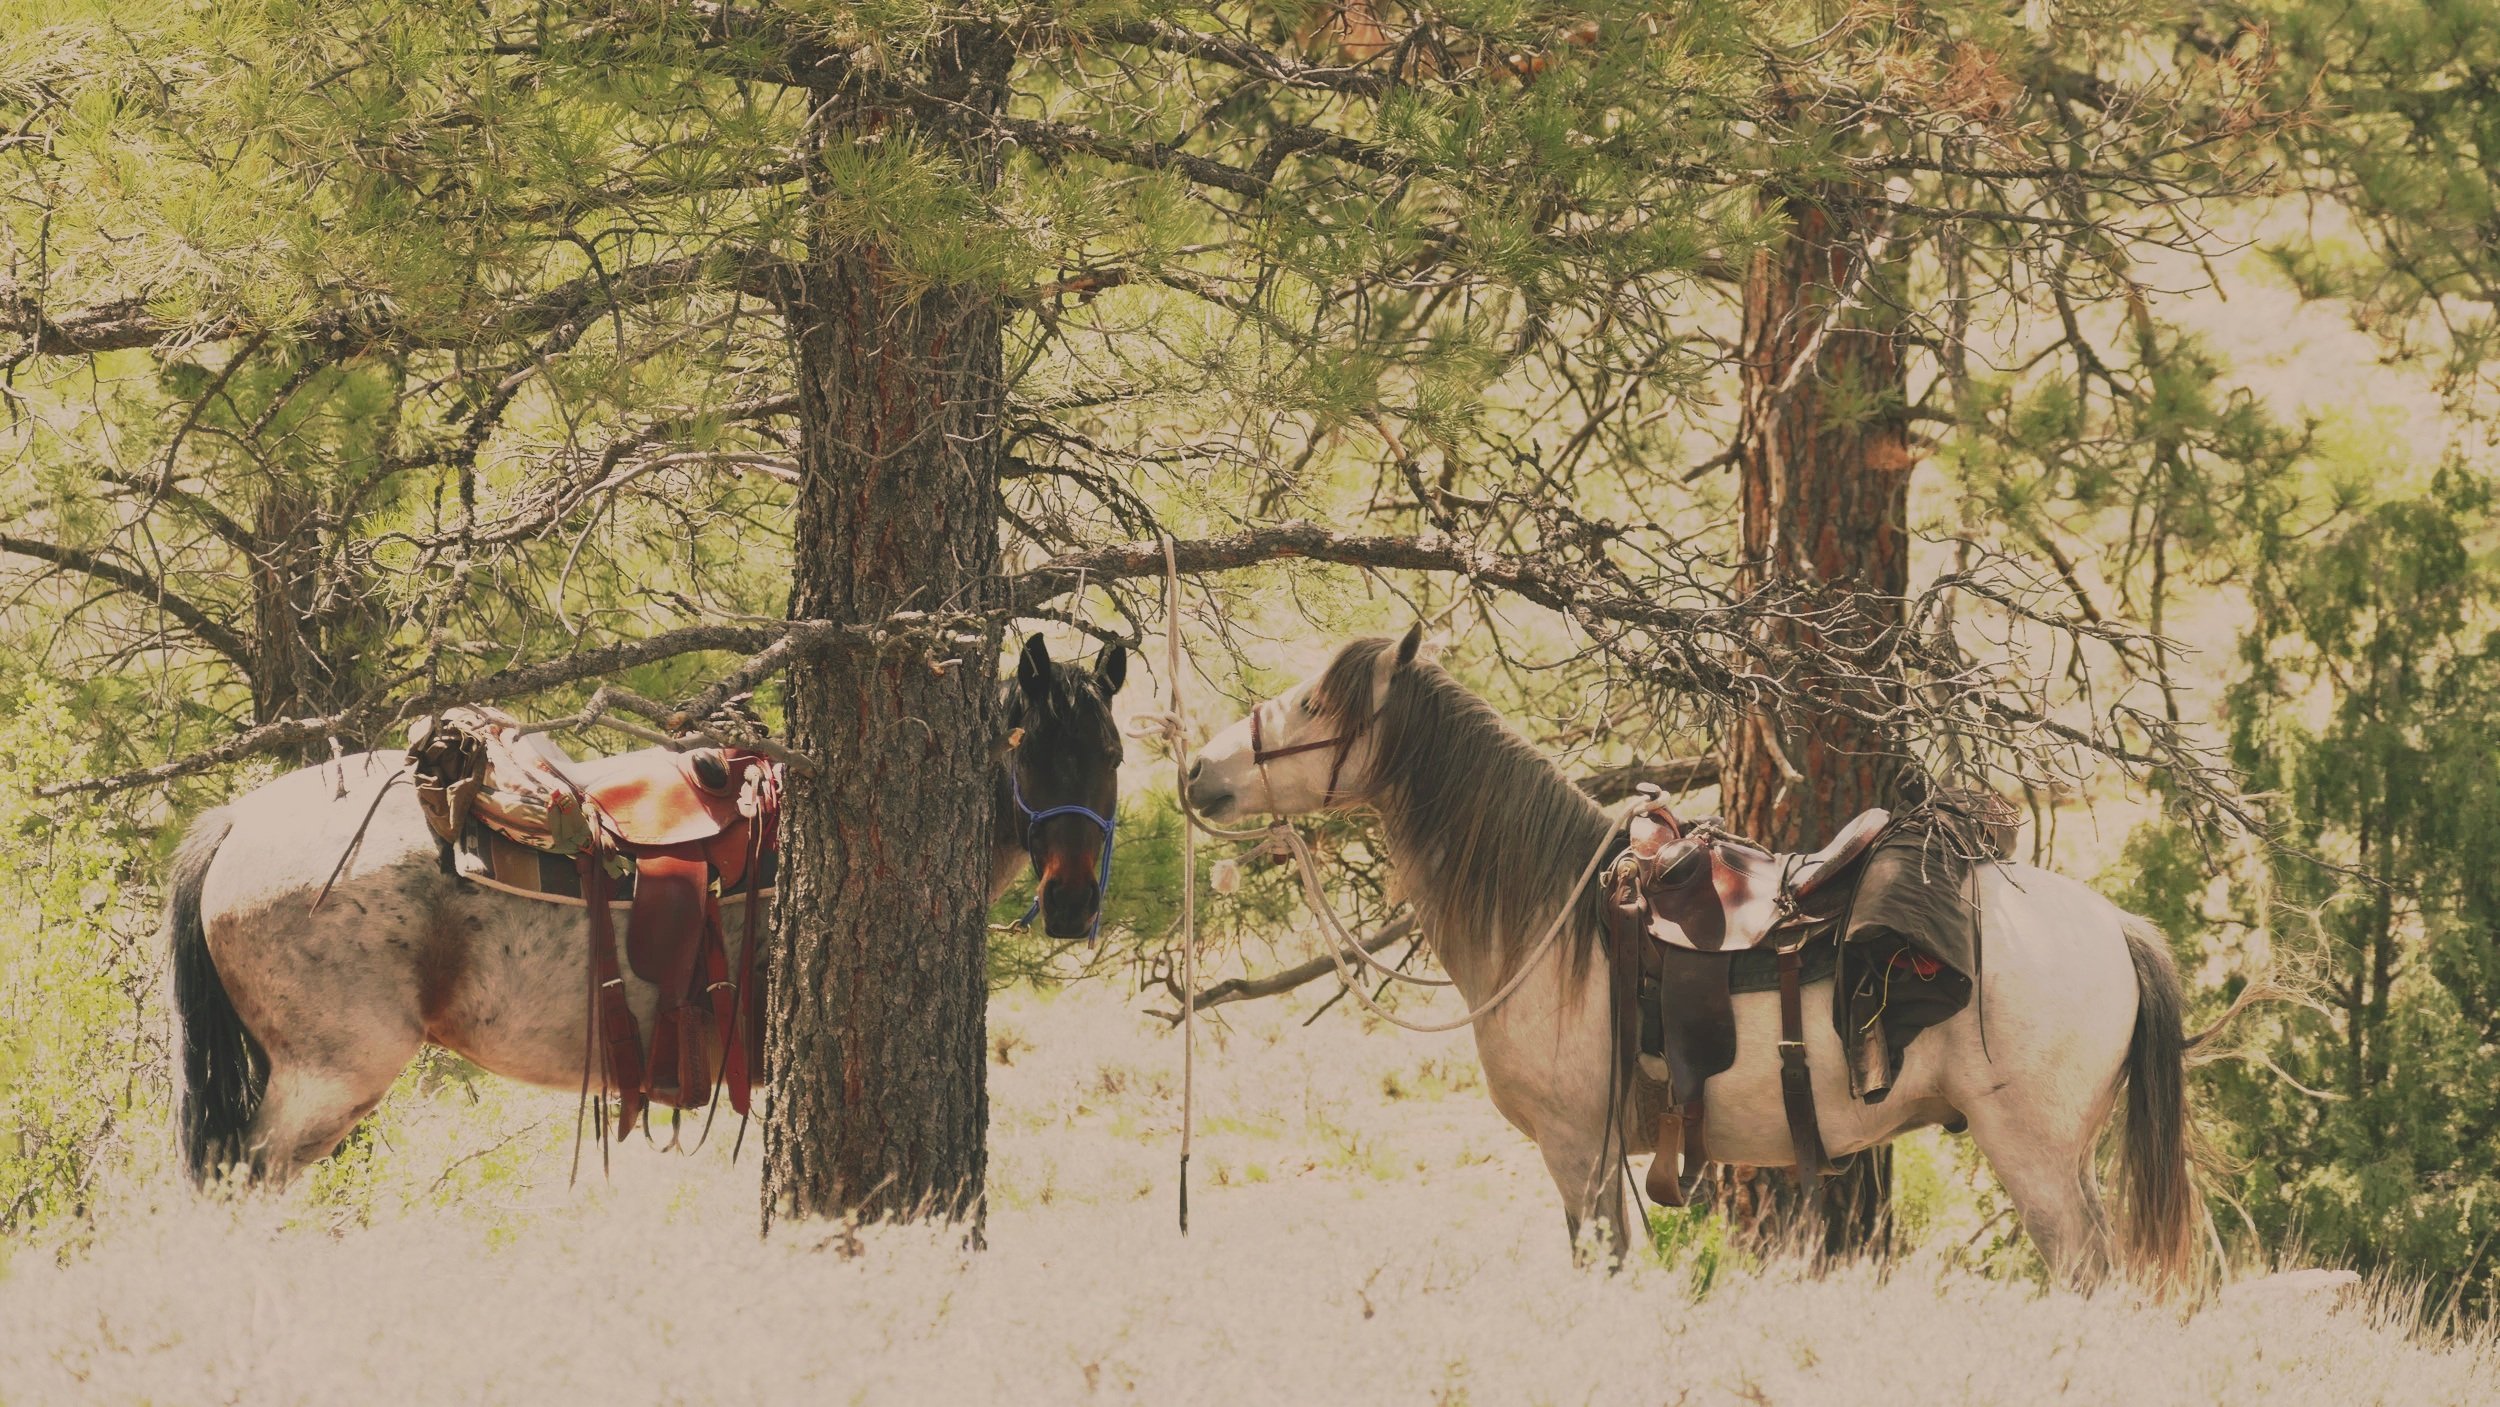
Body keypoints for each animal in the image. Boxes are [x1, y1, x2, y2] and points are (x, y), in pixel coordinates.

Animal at [1182, 625, 2200, 1288]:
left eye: (1314, 701)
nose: (1195, 770)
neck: (1554, 924)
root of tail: (2116, 926)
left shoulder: (1578, 1151)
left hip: (2035, 1157)